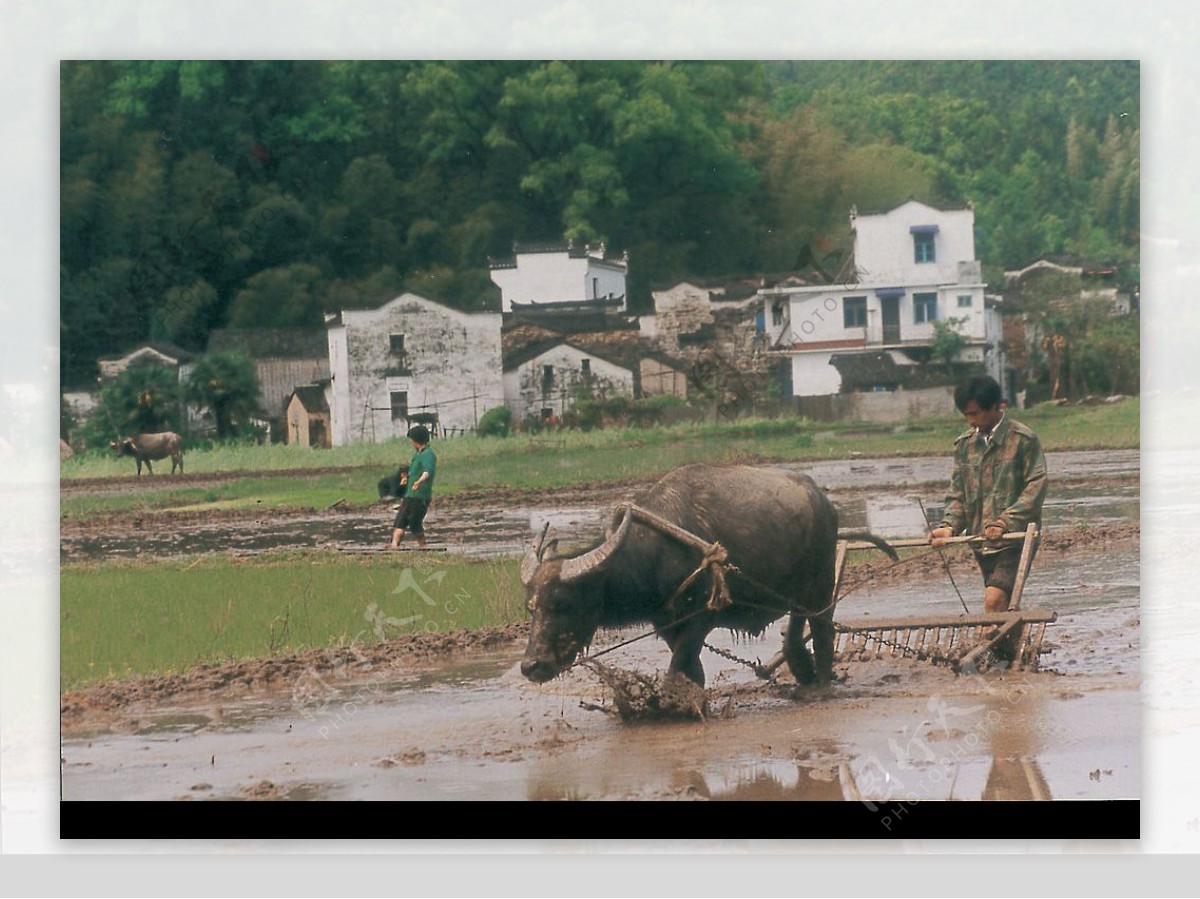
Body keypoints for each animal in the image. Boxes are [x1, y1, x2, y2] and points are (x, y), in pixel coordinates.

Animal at [520, 463, 897, 686]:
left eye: (564, 604)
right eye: (532, 608)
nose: (531, 666)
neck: (656, 552)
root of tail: (823, 500)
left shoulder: (701, 616)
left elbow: (678, 667)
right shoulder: (666, 623)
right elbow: (690, 670)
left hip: (819, 584)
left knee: (821, 629)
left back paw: (821, 680)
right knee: (796, 626)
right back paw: (801, 671)